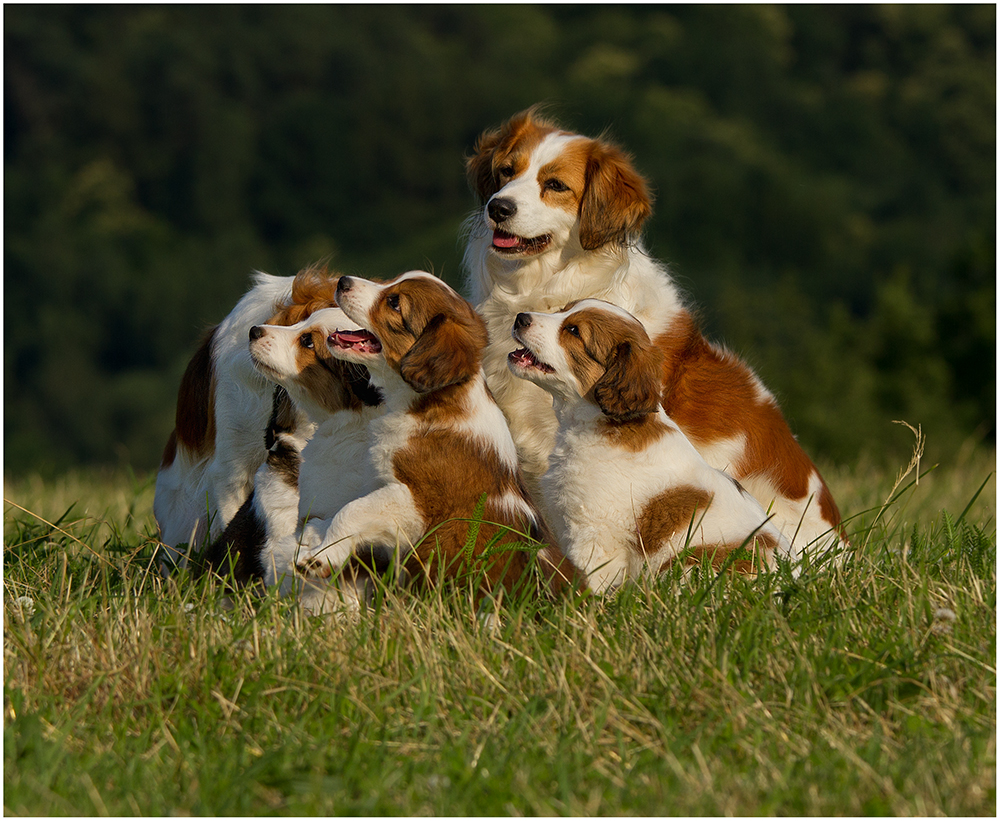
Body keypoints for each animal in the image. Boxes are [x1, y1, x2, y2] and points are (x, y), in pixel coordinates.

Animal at [508, 298, 788, 592]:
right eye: (562, 309)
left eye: (573, 330)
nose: (521, 318)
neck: (605, 423)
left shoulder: (593, 533)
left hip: (685, 566)